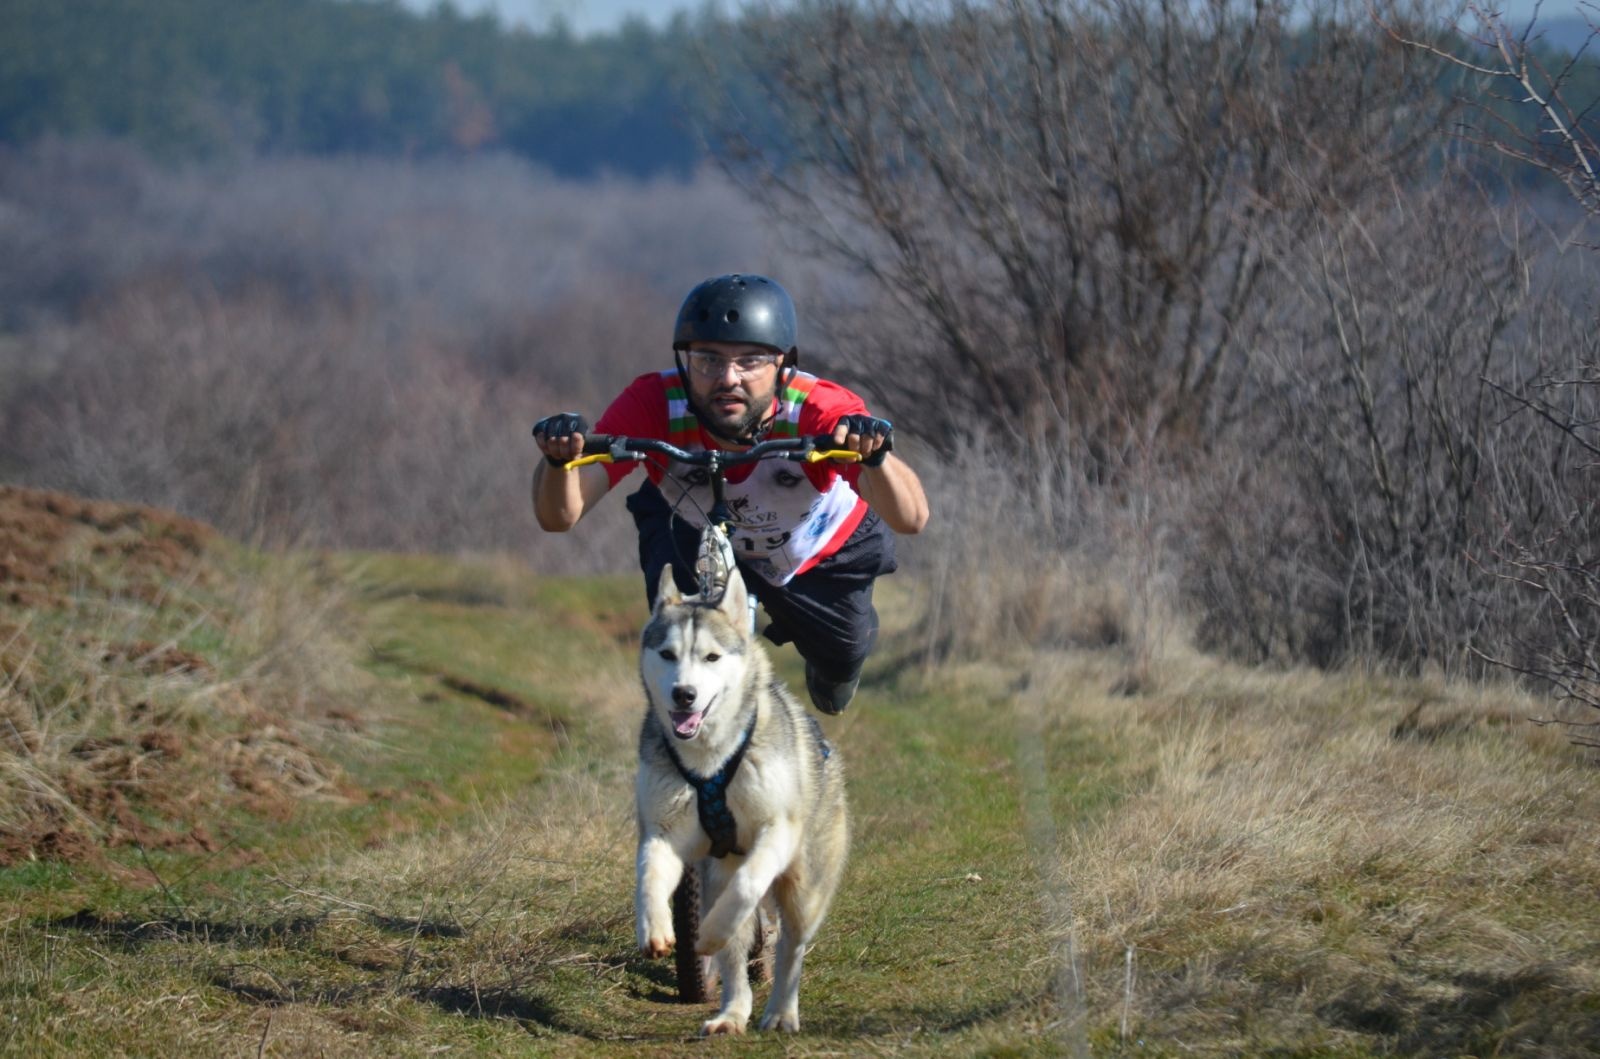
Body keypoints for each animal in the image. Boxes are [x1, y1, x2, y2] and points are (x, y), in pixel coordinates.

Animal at [633, 569, 851, 1030]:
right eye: (667, 654)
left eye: (712, 657)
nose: (684, 694)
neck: (709, 762)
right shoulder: (662, 829)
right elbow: (648, 874)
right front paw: (653, 927)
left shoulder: (778, 830)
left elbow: (750, 882)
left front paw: (713, 930)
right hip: (716, 875)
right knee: (734, 958)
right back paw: (732, 1013)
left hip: (804, 888)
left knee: (790, 946)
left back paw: (782, 1011)